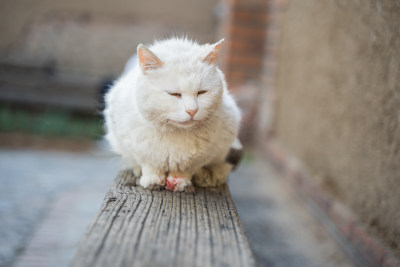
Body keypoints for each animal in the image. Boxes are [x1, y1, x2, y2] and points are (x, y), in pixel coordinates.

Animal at [103, 38, 241, 193]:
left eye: (201, 92)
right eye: (174, 94)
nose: (192, 110)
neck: (175, 134)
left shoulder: (204, 155)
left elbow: (186, 169)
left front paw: (179, 182)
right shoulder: (136, 147)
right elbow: (150, 165)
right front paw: (153, 181)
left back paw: (206, 177)